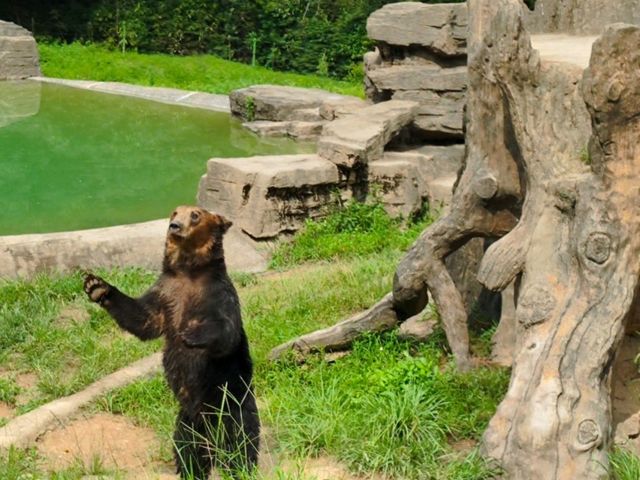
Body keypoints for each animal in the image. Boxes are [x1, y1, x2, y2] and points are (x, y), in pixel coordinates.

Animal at [84, 204, 258, 478]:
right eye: (174, 212)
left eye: (195, 214)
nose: (174, 226)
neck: (190, 271)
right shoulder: (166, 294)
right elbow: (144, 318)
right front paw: (96, 285)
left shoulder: (217, 294)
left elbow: (226, 333)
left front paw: (191, 333)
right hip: (186, 422)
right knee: (187, 451)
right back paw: (191, 470)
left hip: (232, 404)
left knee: (240, 445)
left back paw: (239, 467)